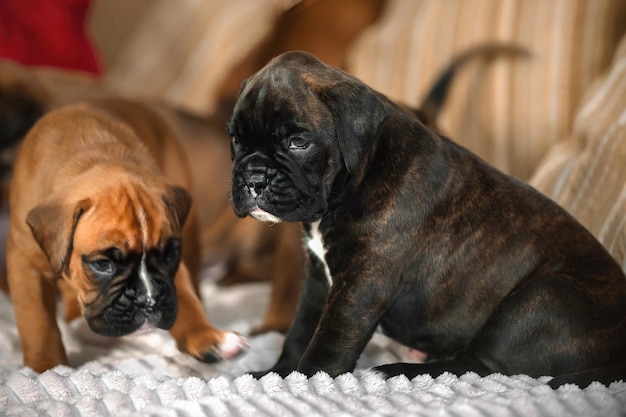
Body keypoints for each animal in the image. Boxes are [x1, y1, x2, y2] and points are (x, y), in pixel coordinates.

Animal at [7, 97, 246, 370]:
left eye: (170, 255)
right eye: (102, 264)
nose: (148, 300)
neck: (92, 157)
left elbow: (186, 299)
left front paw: (207, 337)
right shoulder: (25, 264)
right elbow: (37, 323)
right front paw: (46, 367)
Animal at [228, 51, 624, 386]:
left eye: (298, 142)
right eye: (235, 140)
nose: (254, 177)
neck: (359, 173)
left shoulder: (362, 282)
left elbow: (329, 338)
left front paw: (308, 378)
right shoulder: (317, 278)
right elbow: (301, 330)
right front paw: (277, 372)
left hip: (543, 297)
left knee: (476, 364)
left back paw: (397, 370)